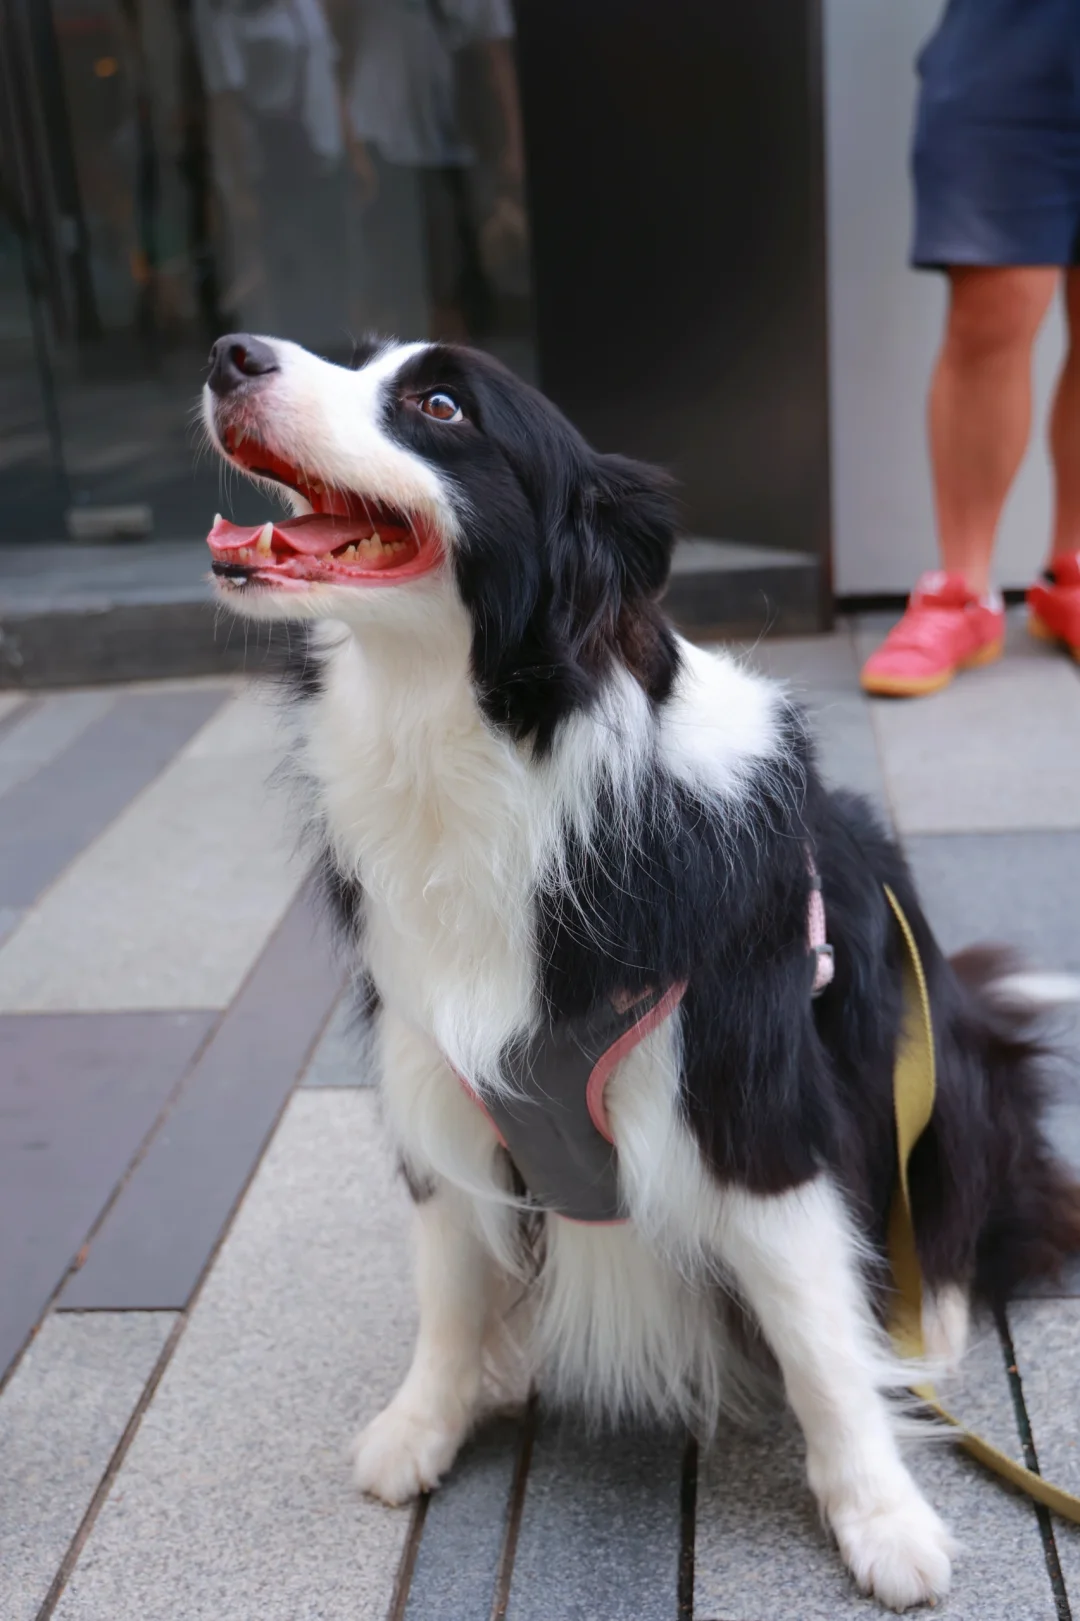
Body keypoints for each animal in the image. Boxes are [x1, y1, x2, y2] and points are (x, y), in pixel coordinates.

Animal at [201, 335, 1076, 1614]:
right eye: (354, 360)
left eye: (440, 403)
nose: (231, 354)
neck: (491, 751)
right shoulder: (437, 1074)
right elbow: (449, 1285)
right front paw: (422, 1423)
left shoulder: (749, 1104)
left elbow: (817, 1337)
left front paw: (884, 1519)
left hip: (940, 1049)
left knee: (973, 1194)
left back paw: (928, 1325)